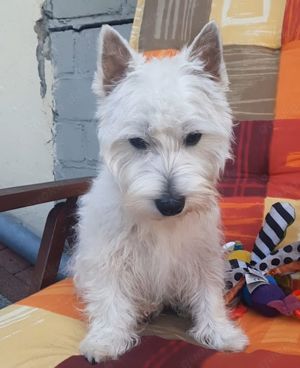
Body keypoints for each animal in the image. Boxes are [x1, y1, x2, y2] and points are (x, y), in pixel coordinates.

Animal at [71, 21, 248, 364]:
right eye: (138, 141)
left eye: (193, 137)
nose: (170, 203)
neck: (162, 224)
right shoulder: (108, 255)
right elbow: (110, 296)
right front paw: (106, 340)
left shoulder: (201, 254)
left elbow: (208, 294)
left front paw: (221, 333)